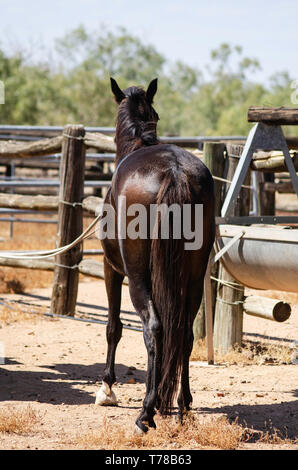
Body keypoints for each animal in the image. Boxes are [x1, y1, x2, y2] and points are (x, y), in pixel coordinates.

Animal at [95, 78, 214, 434]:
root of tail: (174, 171)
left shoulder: (111, 269)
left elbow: (114, 326)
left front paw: (107, 388)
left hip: (137, 277)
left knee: (154, 328)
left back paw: (145, 413)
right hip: (193, 278)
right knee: (184, 333)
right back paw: (183, 404)